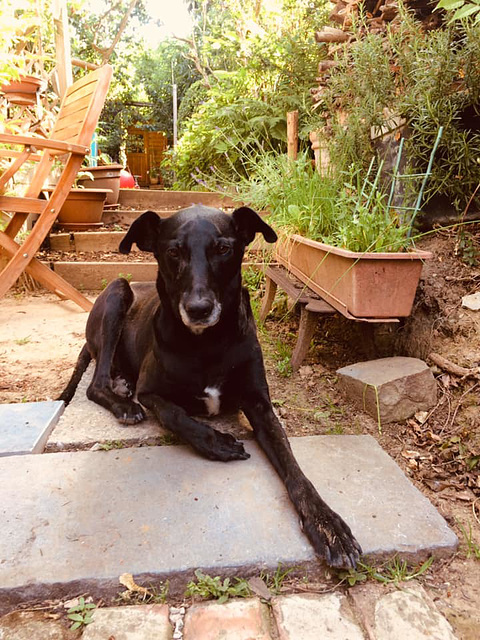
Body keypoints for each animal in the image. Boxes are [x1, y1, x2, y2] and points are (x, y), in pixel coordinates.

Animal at [61, 204, 360, 564]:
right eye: (173, 252)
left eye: (223, 249)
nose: (198, 309)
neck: (207, 343)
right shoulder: (151, 392)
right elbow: (177, 416)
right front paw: (218, 443)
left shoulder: (259, 404)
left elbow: (293, 466)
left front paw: (326, 524)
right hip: (118, 291)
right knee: (95, 383)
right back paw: (123, 403)